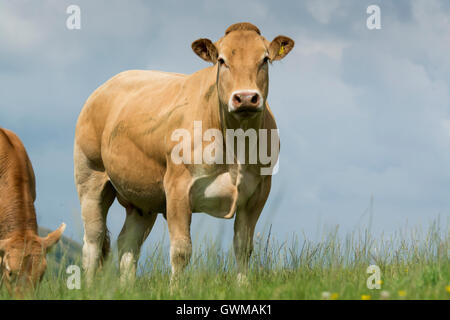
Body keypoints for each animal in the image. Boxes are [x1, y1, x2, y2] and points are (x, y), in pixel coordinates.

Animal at [74, 22, 296, 282]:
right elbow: (181, 250)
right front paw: (175, 287)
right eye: (221, 60)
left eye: (264, 59)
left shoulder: (258, 193)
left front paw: (243, 285)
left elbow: (243, 247)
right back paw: (89, 285)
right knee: (94, 239)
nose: (245, 98)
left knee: (128, 243)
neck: (235, 145)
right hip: (90, 176)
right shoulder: (177, 187)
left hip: (142, 199)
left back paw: (126, 285)